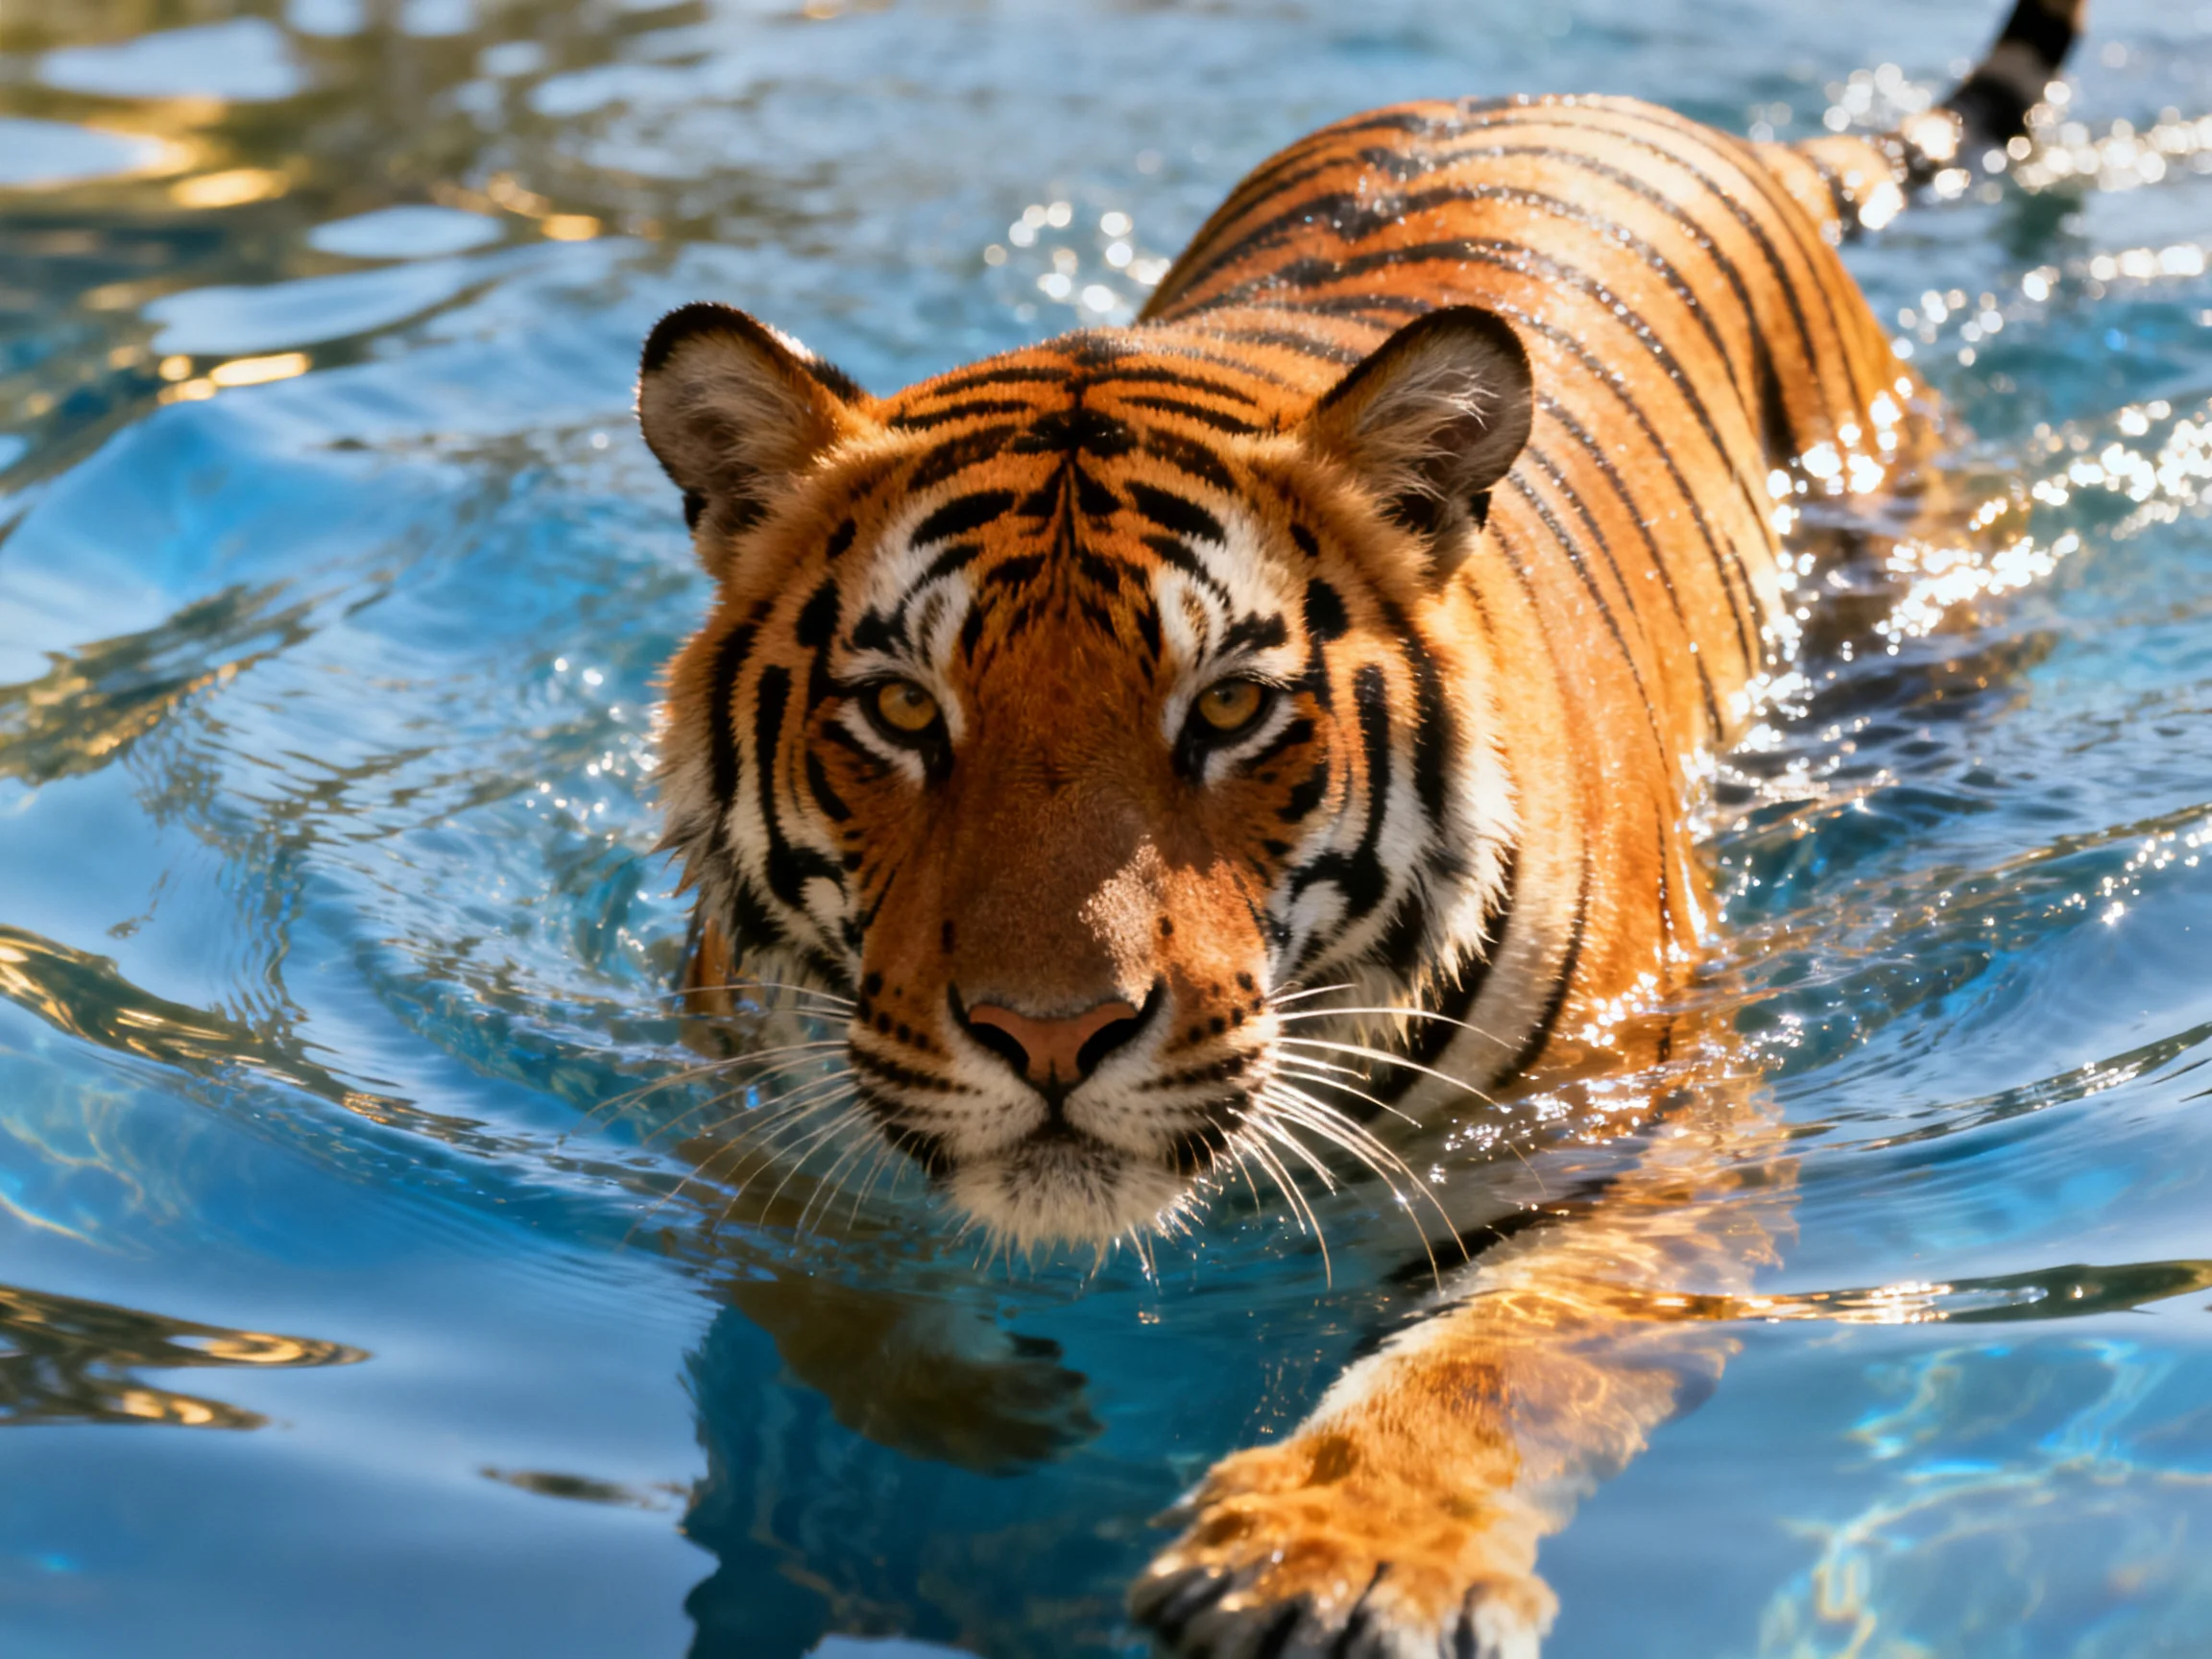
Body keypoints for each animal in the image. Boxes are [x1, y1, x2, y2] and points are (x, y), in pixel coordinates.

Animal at [634, 0, 2085, 1652]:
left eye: (1226, 709)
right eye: (899, 710)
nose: (1052, 1037)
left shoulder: (1659, 1140)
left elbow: (1504, 1356)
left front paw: (1338, 1559)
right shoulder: (742, 1138)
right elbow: (828, 1321)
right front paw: (995, 1469)